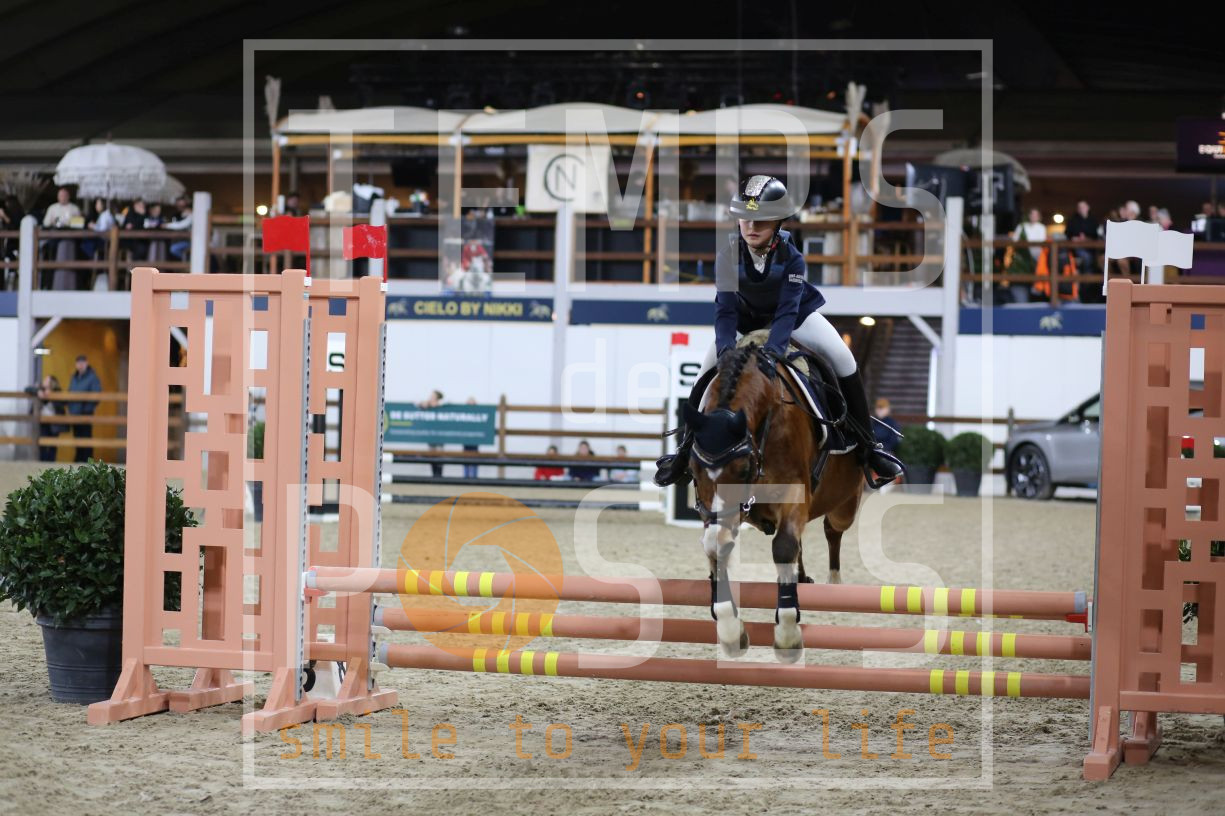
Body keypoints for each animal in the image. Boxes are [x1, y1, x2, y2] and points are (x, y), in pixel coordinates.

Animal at [682, 338, 865, 663]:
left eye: (743, 469)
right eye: (692, 468)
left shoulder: (794, 491)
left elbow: (783, 546)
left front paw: (787, 633)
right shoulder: (715, 509)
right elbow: (717, 548)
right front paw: (730, 629)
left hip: (845, 502)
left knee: (832, 529)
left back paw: (834, 582)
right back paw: (803, 578)